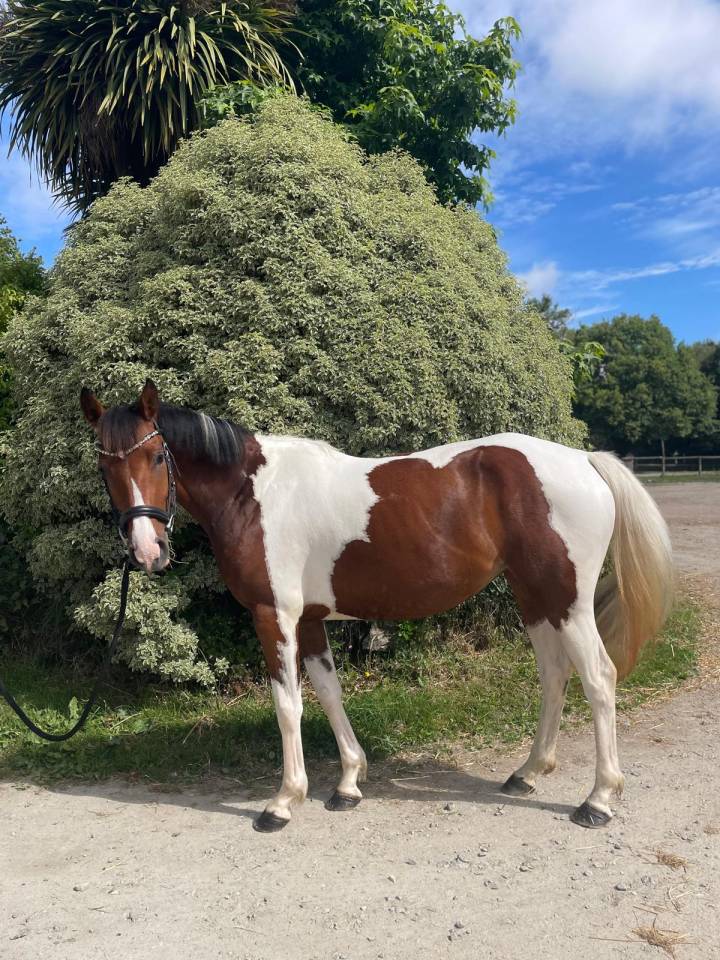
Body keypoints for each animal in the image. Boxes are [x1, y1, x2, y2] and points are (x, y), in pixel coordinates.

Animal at [80, 380, 673, 832]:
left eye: (156, 455)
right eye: (104, 467)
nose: (147, 551)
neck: (253, 494)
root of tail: (584, 461)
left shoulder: (275, 616)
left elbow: (288, 705)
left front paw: (283, 801)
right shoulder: (311, 620)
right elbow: (328, 694)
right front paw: (347, 782)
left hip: (568, 600)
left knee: (598, 677)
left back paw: (598, 799)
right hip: (537, 597)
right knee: (554, 673)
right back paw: (527, 772)